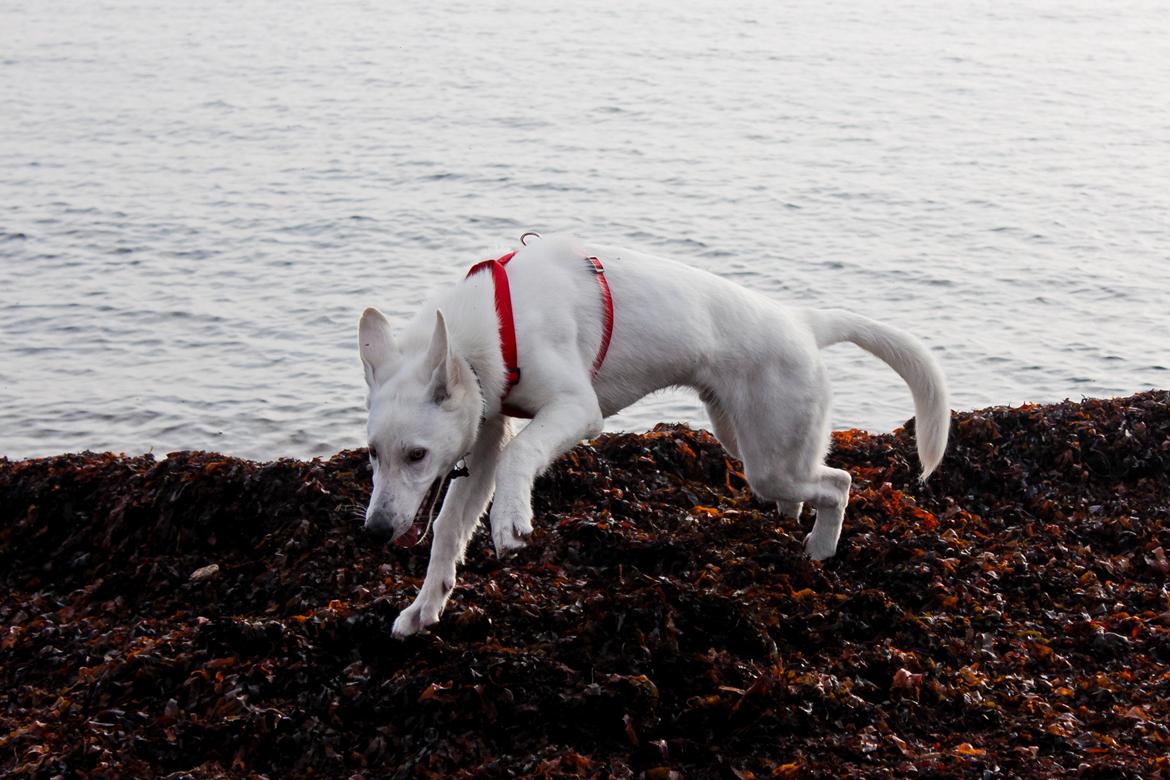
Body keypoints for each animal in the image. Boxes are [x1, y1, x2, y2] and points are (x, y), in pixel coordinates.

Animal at [358, 235, 950, 636]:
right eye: (373, 455)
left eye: (417, 454)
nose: (375, 533)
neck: (494, 324)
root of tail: (803, 322)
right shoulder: (482, 436)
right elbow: (447, 532)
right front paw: (425, 609)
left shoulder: (575, 410)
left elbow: (519, 458)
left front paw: (512, 521)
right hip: (747, 443)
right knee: (811, 482)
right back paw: (793, 524)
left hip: (769, 462)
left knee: (841, 482)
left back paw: (821, 551)